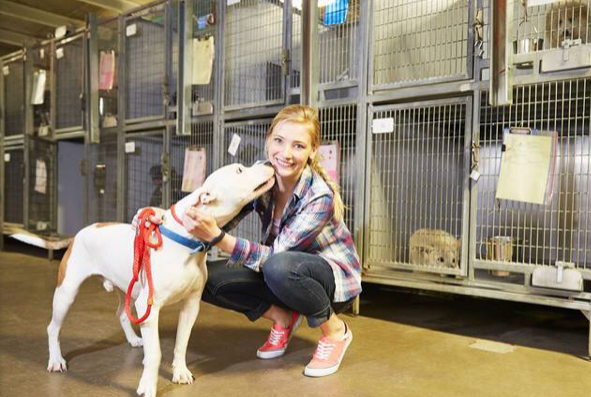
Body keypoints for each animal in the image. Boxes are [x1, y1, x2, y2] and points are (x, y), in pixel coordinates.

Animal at [47, 162, 276, 396]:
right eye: (239, 170)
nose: (268, 163)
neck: (188, 242)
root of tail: (83, 230)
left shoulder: (191, 304)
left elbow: (181, 342)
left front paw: (180, 372)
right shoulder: (149, 307)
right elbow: (155, 352)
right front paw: (147, 385)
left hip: (127, 288)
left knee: (122, 313)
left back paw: (133, 339)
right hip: (67, 292)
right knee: (53, 328)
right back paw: (56, 360)